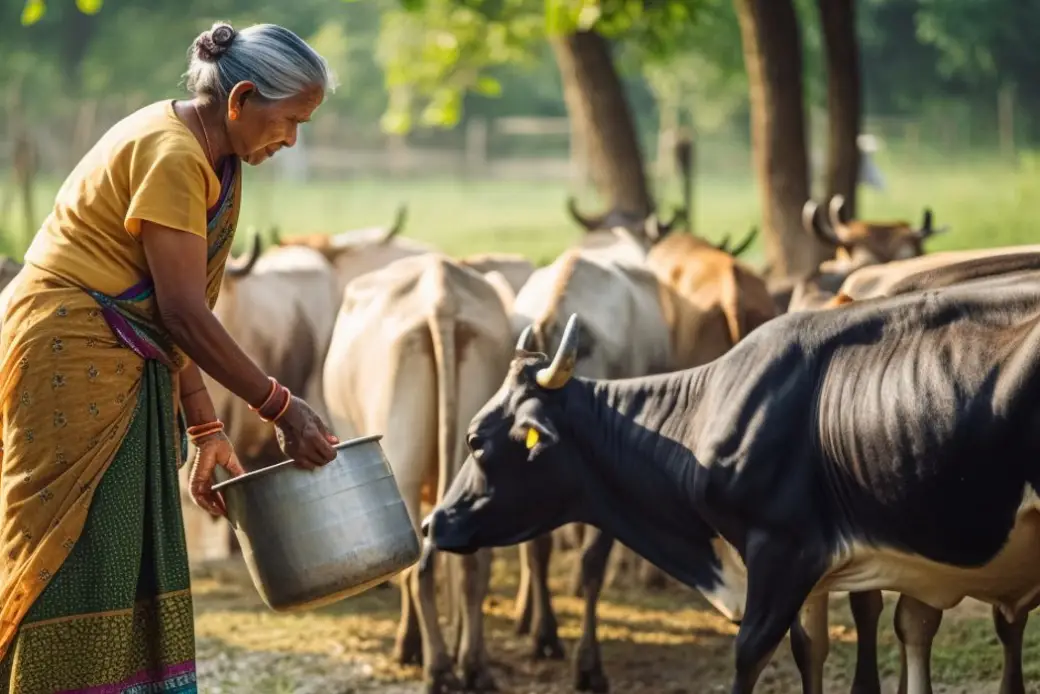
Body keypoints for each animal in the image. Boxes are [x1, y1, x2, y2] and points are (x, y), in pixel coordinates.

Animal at [322, 253, 515, 693]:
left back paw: (437, 665)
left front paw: (411, 645)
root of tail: (440, 298)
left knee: (415, 567)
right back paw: (473, 665)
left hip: (401, 467)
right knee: (472, 565)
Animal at [422, 268, 1040, 694]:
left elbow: (748, 658)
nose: (432, 522)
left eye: (476, 440)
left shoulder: (783, 553)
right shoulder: (814, 574)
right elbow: (808, 652)